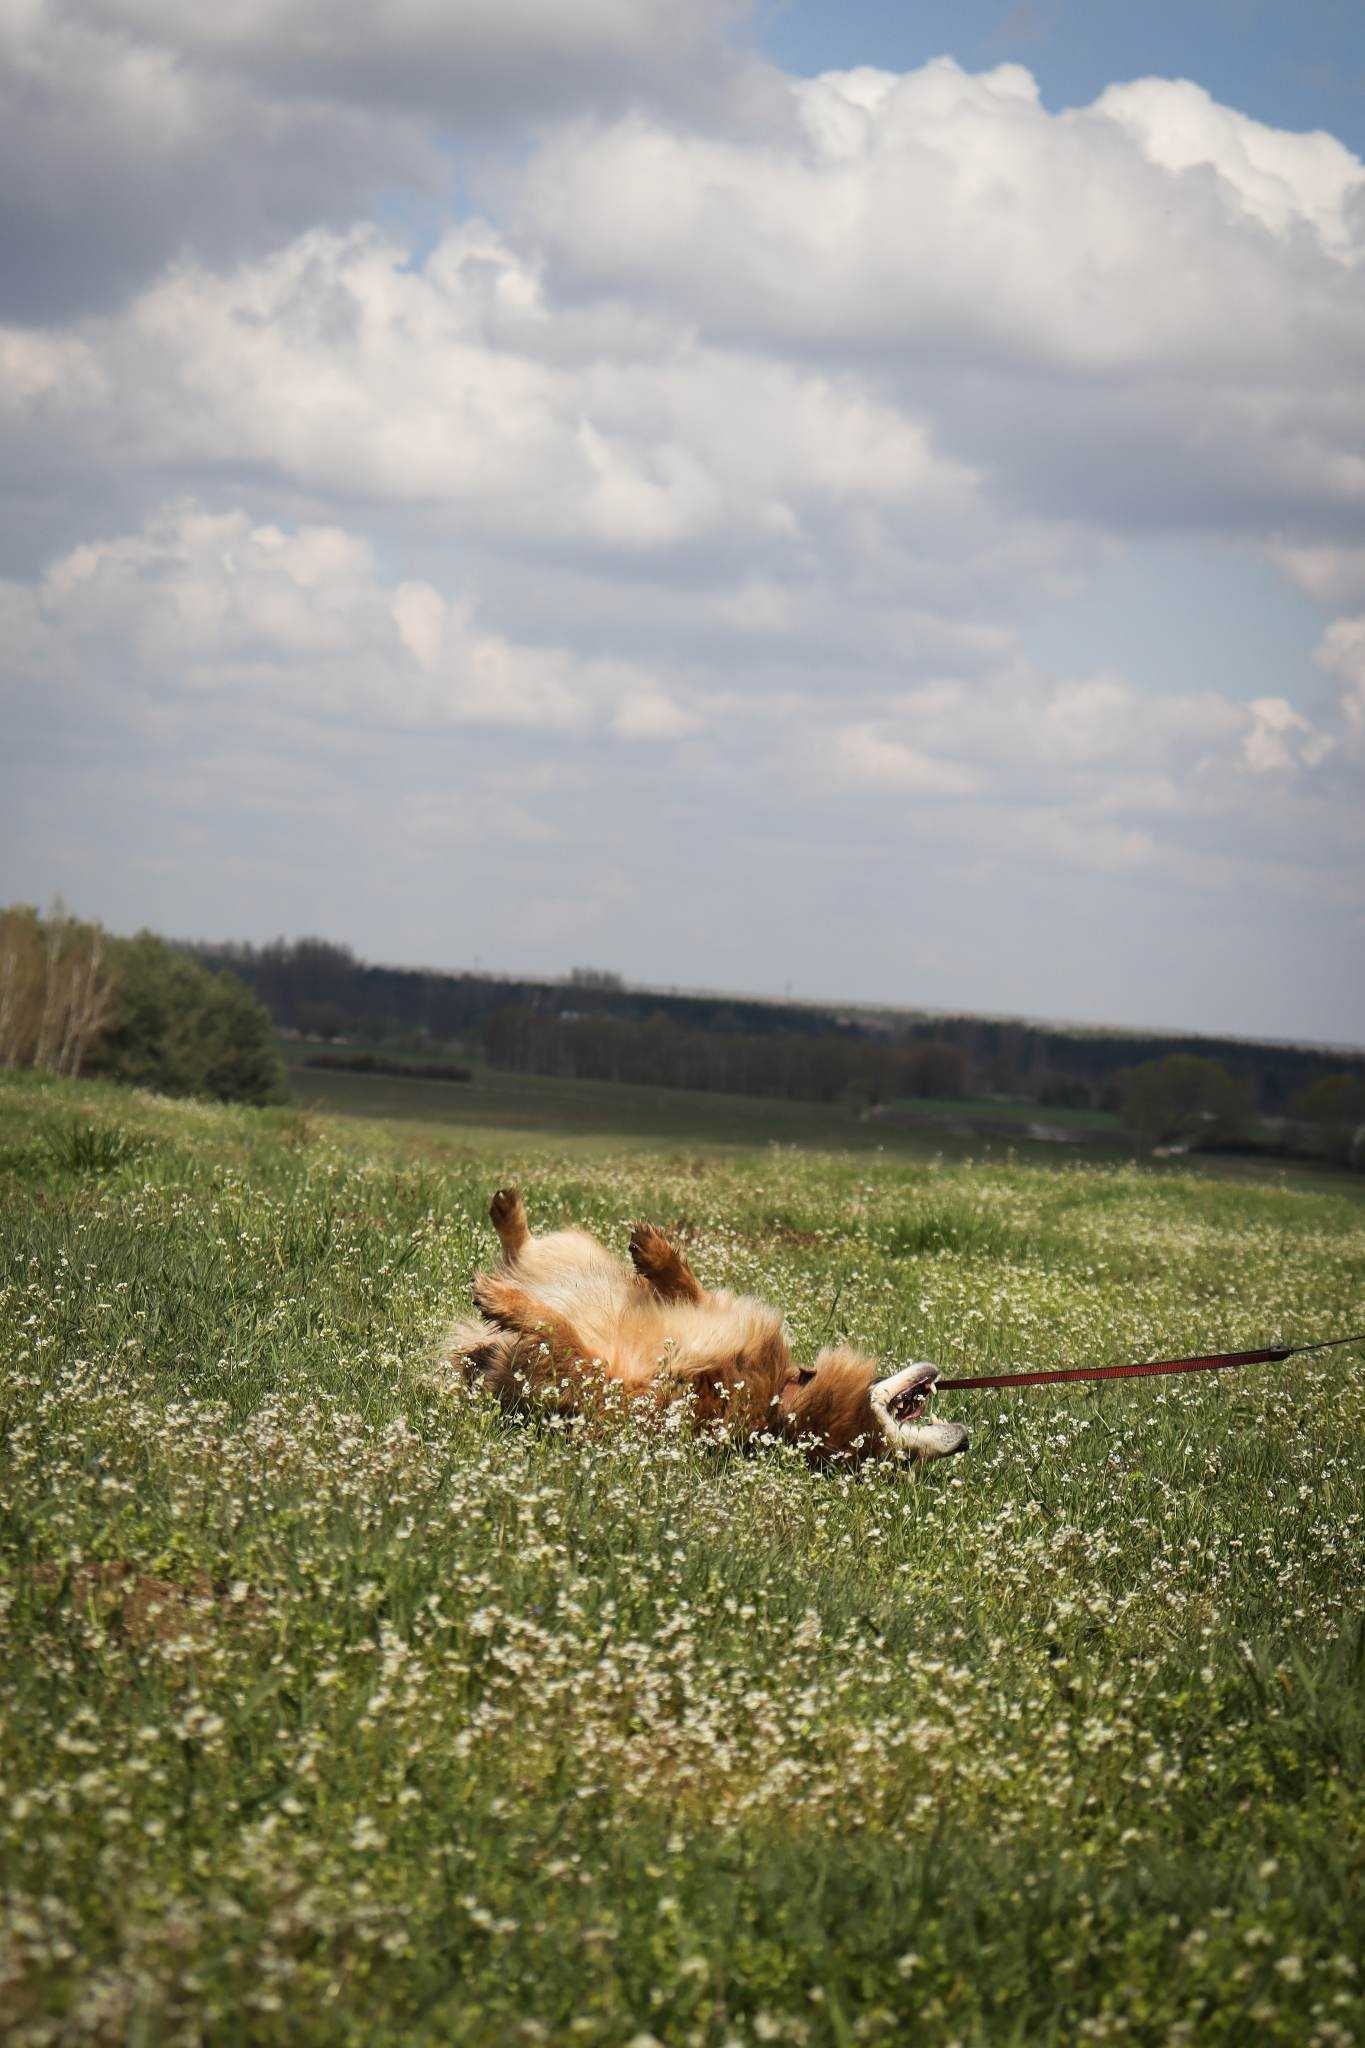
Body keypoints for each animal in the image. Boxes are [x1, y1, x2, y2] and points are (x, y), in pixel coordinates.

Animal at [444, 1196, 965, 1466]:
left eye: (904, 1464)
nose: (964, 1442)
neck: (780, 1398)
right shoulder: (697, 1311)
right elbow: (684, 1286)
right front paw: (656, 1251)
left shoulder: (607, 1386)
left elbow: (558, 1331)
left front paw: (503, 1303)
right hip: (578, 1254)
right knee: (523, 1247)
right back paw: (509, 1212)